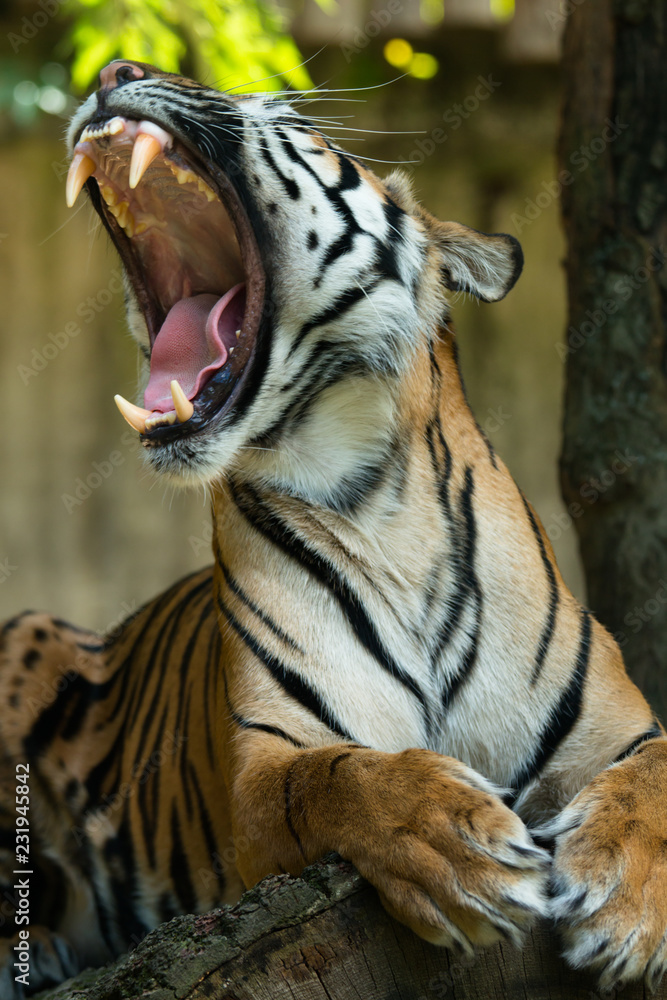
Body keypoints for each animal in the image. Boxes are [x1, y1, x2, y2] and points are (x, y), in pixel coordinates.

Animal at [2, 57, 666, 996]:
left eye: (289, 117)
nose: (115, 71)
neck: (376, 503)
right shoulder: (264, 762)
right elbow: (341, 778)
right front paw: (460, 846)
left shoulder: (620, 731)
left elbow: (657, 778)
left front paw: (625, 905)